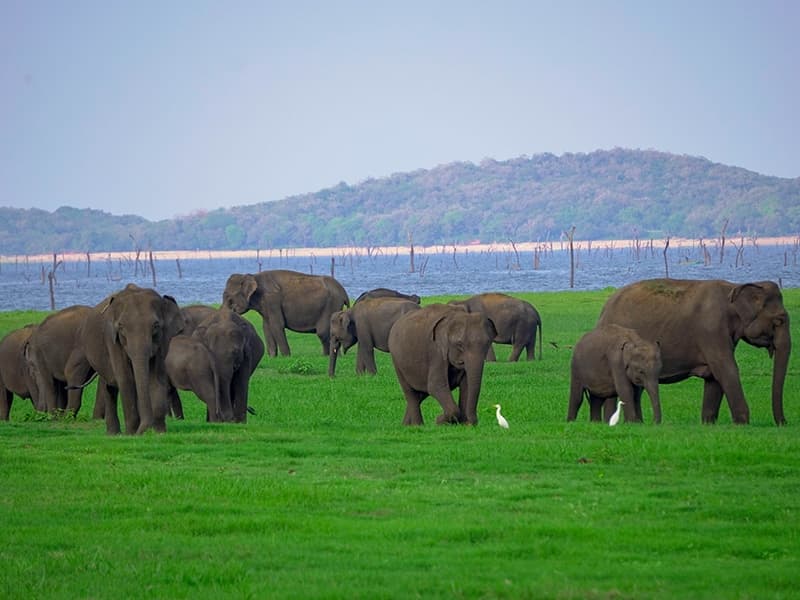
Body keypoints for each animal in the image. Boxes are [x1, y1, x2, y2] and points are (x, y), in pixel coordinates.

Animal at [65, 284, 185, 434]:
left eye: (156, 325)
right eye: (121, 327)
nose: (143, 431)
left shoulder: (163, 341)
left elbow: (156, 378)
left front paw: (159, 433)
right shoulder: (112, 340)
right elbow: (125, 379)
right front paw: (131, 434)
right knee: (109, 387)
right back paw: (113, 434)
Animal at [596, 278, 791, 425]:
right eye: (779, 321)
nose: (783, 423)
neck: (735, 287)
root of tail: (603, 310)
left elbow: (714, 377)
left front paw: (708, 423)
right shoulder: (711, 329)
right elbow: (726, 369)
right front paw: (742, 423)